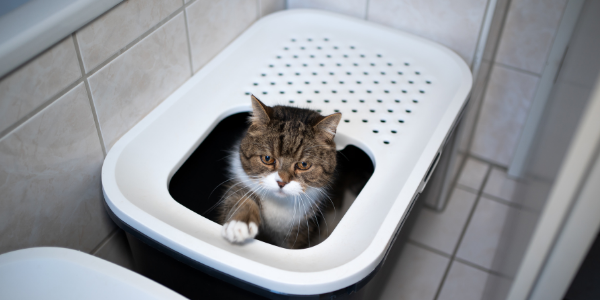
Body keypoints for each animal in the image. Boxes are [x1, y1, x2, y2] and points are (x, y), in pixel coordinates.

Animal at [219, 95, 342, 248]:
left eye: (304, 164)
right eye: (267, 158)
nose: (281, 182)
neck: (278, 203)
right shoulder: (241, 182)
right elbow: (238, 197)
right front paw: (239, 223)